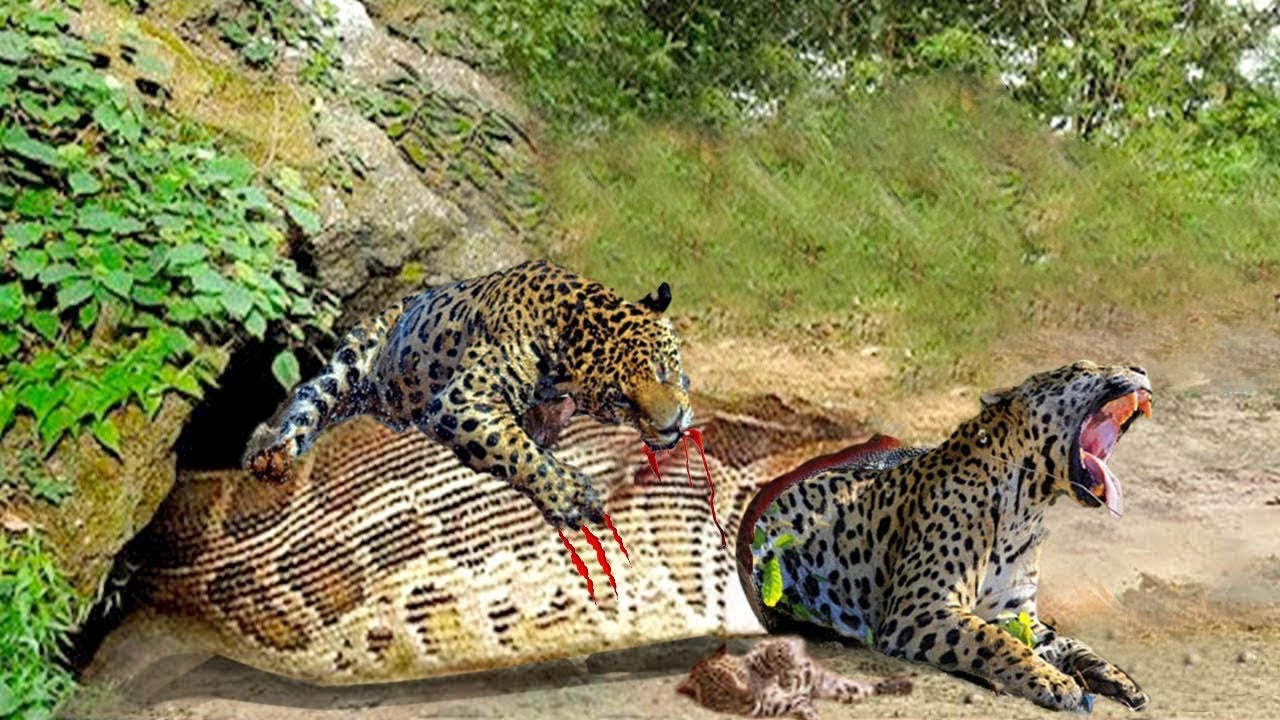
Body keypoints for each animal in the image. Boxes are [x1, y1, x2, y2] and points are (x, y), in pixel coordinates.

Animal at [244, 260, 693, 542]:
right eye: (621, 401)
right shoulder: (460, 400)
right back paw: (270, 455)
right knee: (309, 400)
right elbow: (514, 448)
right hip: (349, 364)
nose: (673, 425)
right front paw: (568, 493)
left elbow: (534, 434)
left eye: (662, 369)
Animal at [676, 637, 912, 720]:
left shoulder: (770, 649)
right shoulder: (780, 705)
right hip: (845, 691)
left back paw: (902, 684)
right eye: (723, 694)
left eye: (740, 676)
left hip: (841, 685)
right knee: (866, 690)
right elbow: (802, 705)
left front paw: (786, 674)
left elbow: (772, 654)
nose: (748, 697)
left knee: (873, 686)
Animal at [737, 361, 1153, 712]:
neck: (1026, 508)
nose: (1141, 369)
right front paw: (1056, 682)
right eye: (1083, 368)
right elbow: (994, 639)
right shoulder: (919, 609)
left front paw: (1116, 677)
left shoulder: (1017, 613)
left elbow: (1071, 644)